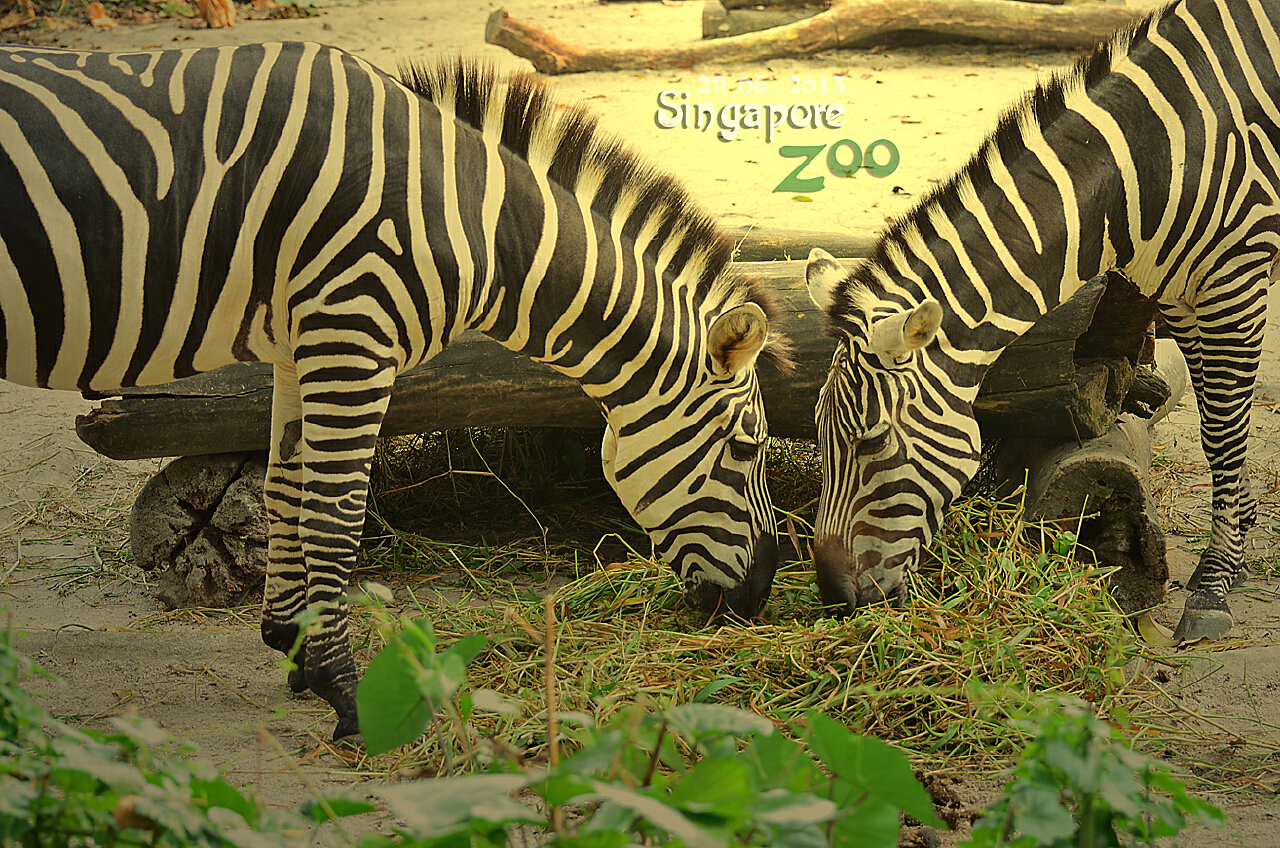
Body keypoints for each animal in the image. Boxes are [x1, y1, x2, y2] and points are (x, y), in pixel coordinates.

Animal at [0, 43, 793, 742]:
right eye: (747, 447)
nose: (762, 591)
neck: (476, 224)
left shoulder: (297, 342)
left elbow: (283, 488)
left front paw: (292, 646)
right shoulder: (353, 331)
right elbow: (334, 514)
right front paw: (346, 696)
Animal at [803, 0, 1274, 645]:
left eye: (873, 441)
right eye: (819, 433)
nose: (832, 597)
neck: (1147, 163)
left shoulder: (1235, 281)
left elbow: (1223, 434)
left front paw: (1211, 587)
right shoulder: (1179, 293)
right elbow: (1214, 418)